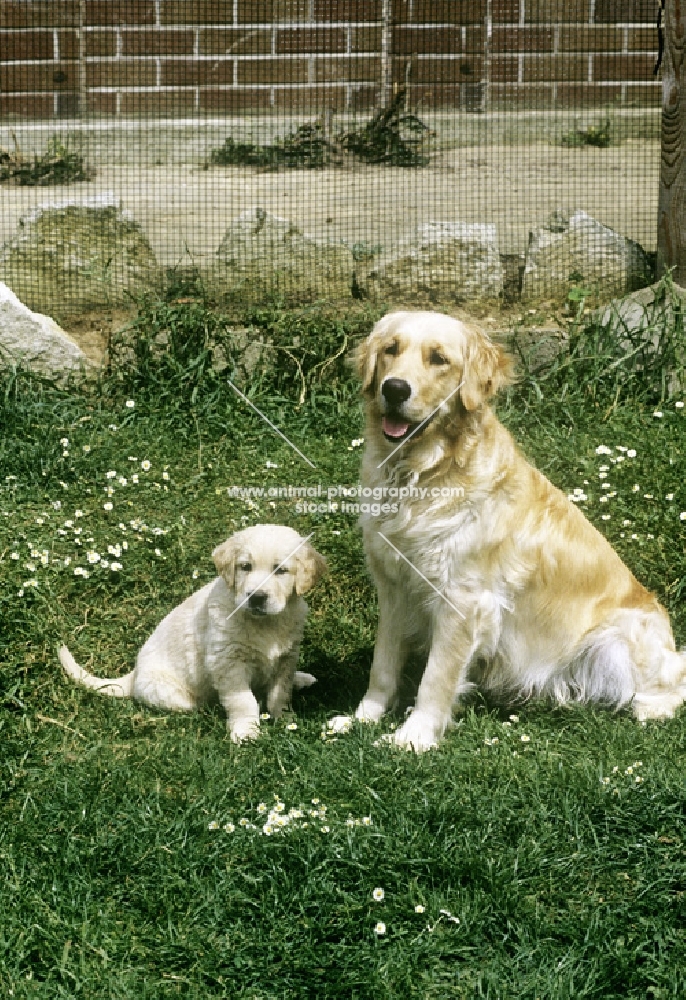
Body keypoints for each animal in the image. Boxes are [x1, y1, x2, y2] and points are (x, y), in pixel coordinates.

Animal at [59, 524, 328, 744]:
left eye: (281, 570)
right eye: (245, 567)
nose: (256, 597)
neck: (265, 623)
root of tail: (133, 674)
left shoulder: (286, 657)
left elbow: (280, 692)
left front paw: (286, 718)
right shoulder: (228, 662)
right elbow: (243, 701)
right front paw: (246, 731)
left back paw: (302, 678)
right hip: (172, 694)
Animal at [330, 312, 684, 752]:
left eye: (438, 359)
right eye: (391, 349)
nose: (393, 389)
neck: (423, 473)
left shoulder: (463, 600)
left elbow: (436, 678)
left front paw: (414, 737)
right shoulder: (394, 587)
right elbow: (382, 664)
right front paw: (362, 718)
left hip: (618, 637)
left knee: (672, 679)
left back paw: (648, 708)